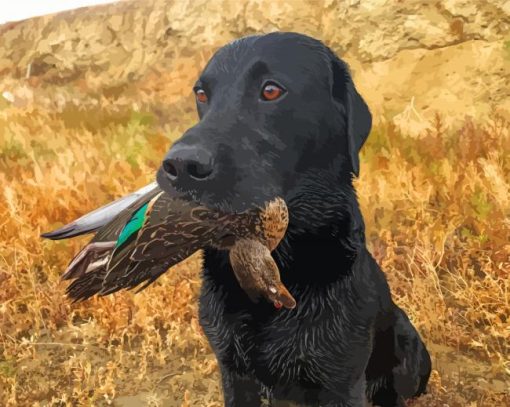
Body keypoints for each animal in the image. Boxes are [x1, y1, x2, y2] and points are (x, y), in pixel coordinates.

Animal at [156, 32, 430, 407]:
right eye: (201, 94)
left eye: (271, 90)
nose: (180, 166)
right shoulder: (233, 370)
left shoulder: (341, 379)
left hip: (406, 340)